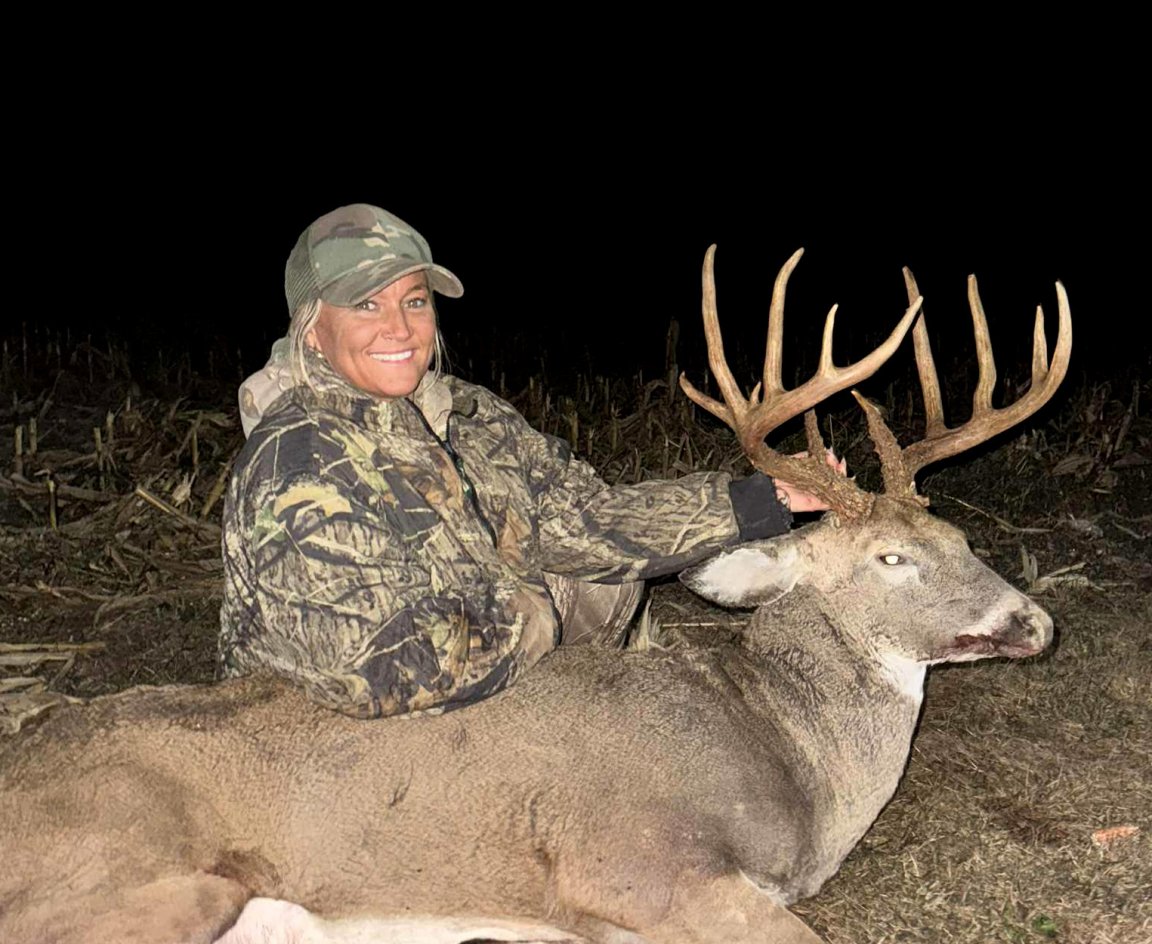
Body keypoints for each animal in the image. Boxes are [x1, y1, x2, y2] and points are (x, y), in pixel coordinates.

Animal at [0, 246, 1071, 944]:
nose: (1036, 621)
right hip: (157, 879)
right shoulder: (633, 863)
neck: (786, 753)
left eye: (962, 539)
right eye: (892, 559)